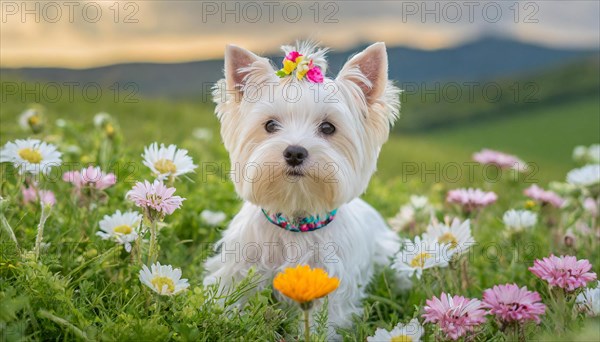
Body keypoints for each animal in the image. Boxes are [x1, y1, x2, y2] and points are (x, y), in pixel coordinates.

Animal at [204, 42, 400, 334]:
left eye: (328, 127)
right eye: (270, 125)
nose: (295, 152)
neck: (295, 219)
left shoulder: (329, 284)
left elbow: (321, 324)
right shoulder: (239, 268)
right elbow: (229, 300)